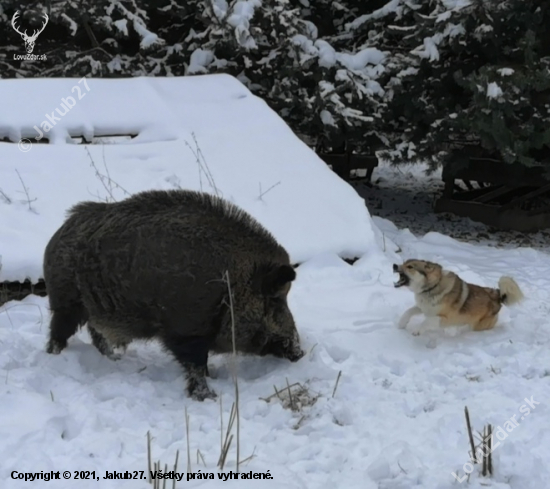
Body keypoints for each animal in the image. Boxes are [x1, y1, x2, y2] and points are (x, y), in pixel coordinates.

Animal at [394, 260, 524, 332]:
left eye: (410, 266)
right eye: (404, 263)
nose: (394, 265)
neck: (432, 287)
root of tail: (497, 293)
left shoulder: (445, 318)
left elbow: (427, 321)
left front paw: (417, 330)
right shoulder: (424, 308)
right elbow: (409, 311)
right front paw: (401, 324)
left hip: (479, 325)